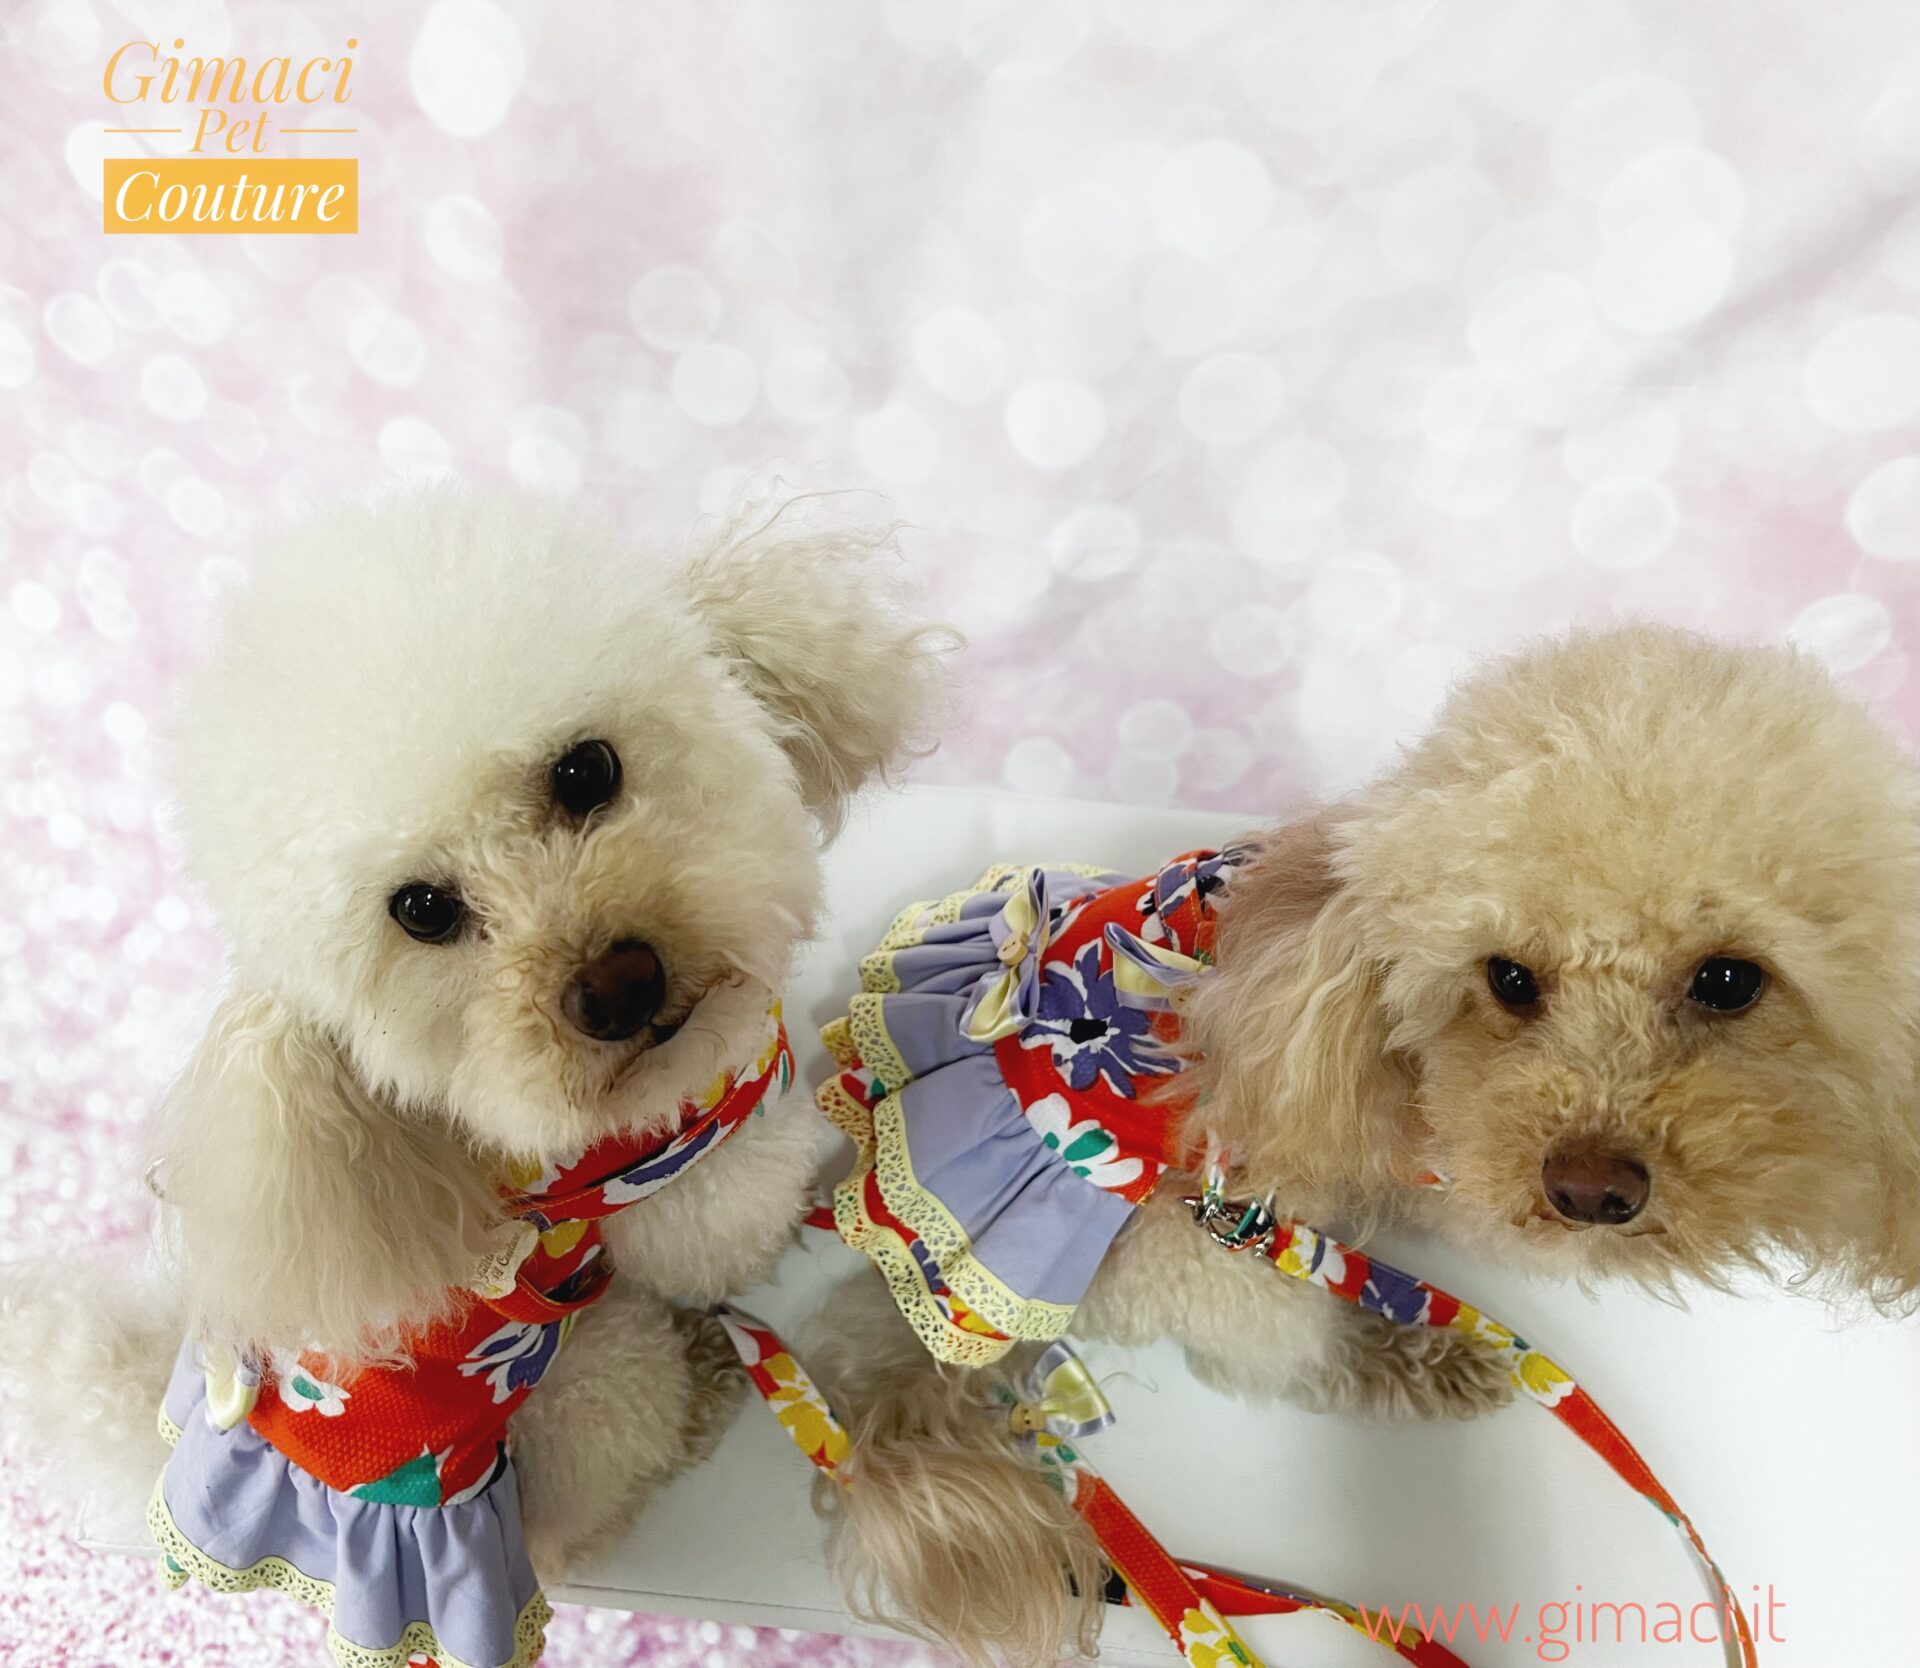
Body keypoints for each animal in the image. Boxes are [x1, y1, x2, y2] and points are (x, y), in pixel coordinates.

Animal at [0, 483, 953, 1666]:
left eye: (586, 770)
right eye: (422, 910)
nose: (617, 986)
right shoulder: (685, 1188)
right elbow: (743, 1210)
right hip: (594, 1384)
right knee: (594, 1497)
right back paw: (701, 1383)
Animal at [800, 623, 1919, 1664]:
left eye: (1730, 979)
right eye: (1508, 977)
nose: (1589, 1190)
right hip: (1186, 1244)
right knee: (1284, 1345)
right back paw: (1421, 1355)